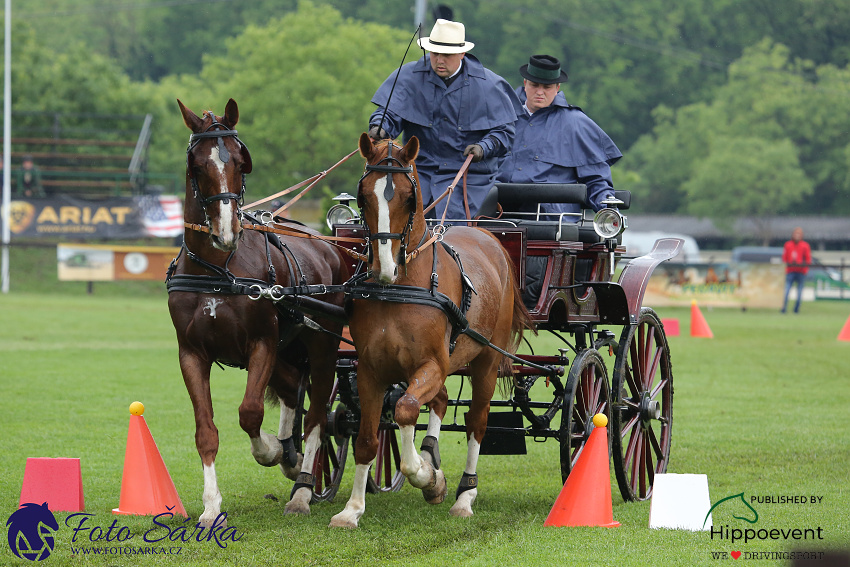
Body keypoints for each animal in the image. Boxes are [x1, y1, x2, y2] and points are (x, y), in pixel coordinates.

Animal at [169, 100, 348, 524]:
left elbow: (249, 413)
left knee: (319, 417)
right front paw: (211, 506)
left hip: (322, 348)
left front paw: (271, 450)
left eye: (240, 161)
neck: (218, 270)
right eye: (197, 165)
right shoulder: (191, 354)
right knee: (291, 389)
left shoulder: (262, 343)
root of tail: (329, 243)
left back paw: (302, 489)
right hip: (289, 349)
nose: (226, 231)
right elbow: (206, 430)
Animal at [330, 135, 532, 532]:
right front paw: (352, 509)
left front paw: (428, 477)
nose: (385, 266)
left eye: (410, 197)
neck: (399, 289)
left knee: (476, 422)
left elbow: (406, 409)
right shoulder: (370, 371)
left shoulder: (431, 365)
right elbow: (367, 437)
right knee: (439, 401)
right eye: (362, 196)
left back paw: (465, 495)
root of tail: (486, 234)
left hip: (486, 362)